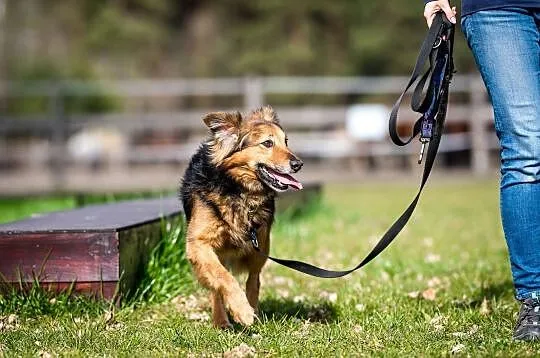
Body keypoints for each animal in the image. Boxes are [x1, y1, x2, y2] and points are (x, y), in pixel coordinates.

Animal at [179, 105, 302, 328]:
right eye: (267, 143)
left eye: (286, 141)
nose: (298, 164)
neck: (239, 189)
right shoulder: (198, 244)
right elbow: (222, 277)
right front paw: (240, 310)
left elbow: (243, 281)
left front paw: (246, 309)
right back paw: (222, 320)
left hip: (260, 247)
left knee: (254, 280)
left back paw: (253, 310)